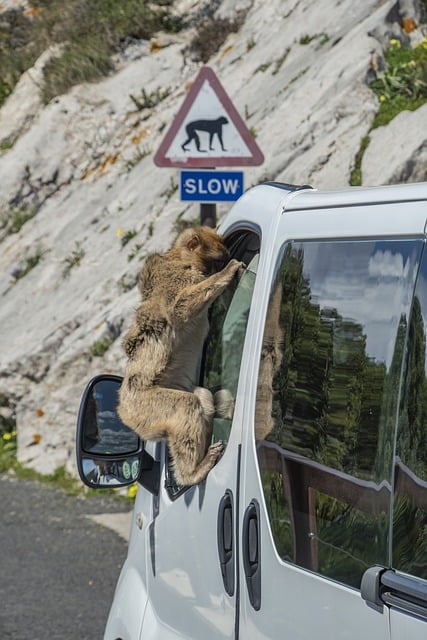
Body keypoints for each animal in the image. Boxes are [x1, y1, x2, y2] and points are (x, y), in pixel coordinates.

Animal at [118, 229, 244, 484]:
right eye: (218, 261)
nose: (222, 266)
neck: (181, 260)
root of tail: (122, 409)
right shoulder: (178, 278)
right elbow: (179, 308)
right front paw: (229, 272)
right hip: (143, 407)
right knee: (186, 405)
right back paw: (192, 474)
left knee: (203, 398)